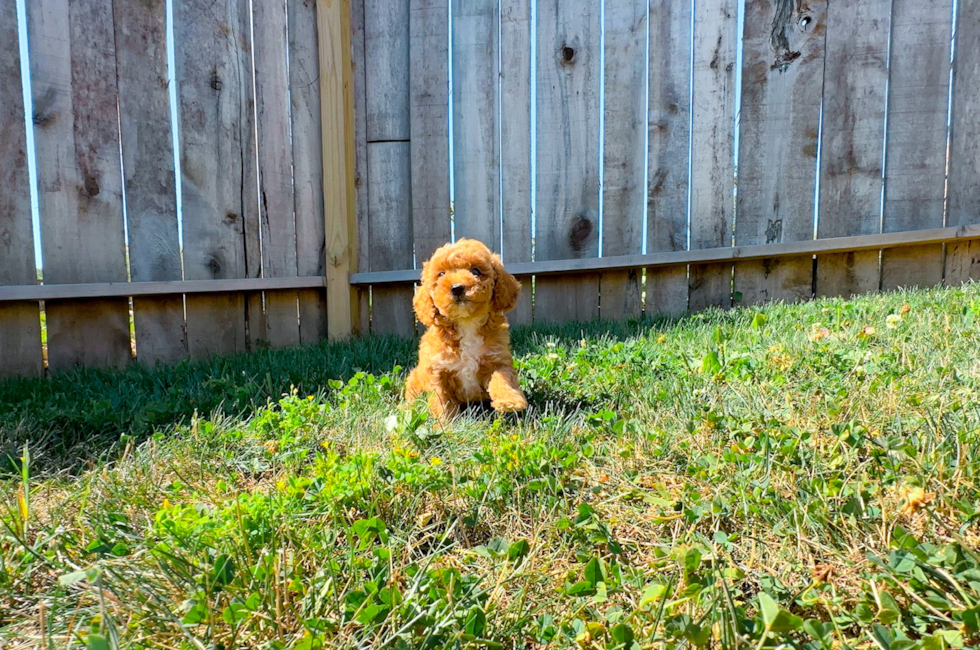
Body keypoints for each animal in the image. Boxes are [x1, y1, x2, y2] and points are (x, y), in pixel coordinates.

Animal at [404, 238, 528, 420]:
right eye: (441, 274)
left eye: (475, 270)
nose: (456, 288)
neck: (466, 323)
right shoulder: (437, 370)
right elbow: (441, 400)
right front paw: (445, 423)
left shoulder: (497, 359)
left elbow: (502, 377)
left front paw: (509, 400)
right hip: (415, 380)